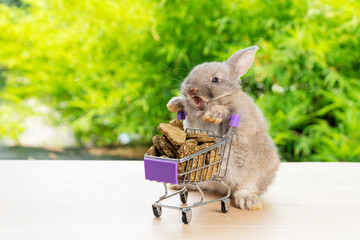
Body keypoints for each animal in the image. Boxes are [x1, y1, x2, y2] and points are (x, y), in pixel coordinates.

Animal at [167, 46, 280, 209]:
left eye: (215, 80)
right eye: (192, 72)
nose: (190, 89)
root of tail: (220, 187)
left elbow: (223, 111)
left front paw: (212, 115)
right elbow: (185, 106)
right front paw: (173, 103)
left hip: (255, 174)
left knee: (249, 187)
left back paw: (247, 201)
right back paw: (181, 185)